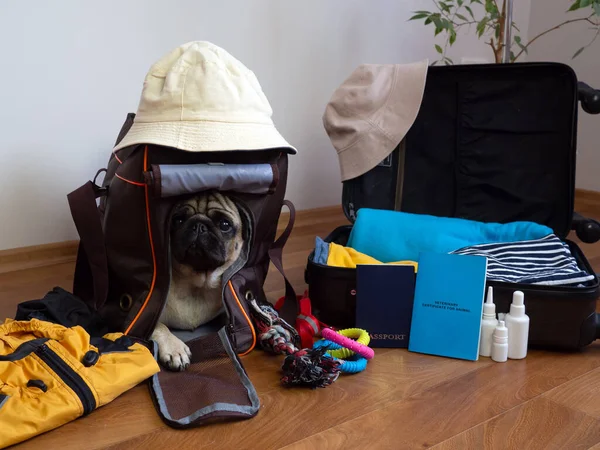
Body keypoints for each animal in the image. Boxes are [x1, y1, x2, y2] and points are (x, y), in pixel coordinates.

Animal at [151, 192, 247, 370]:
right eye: (178, 220)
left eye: (225, 224)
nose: (199, 226)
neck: (197, 283)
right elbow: (160, 326)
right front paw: (174, 348)